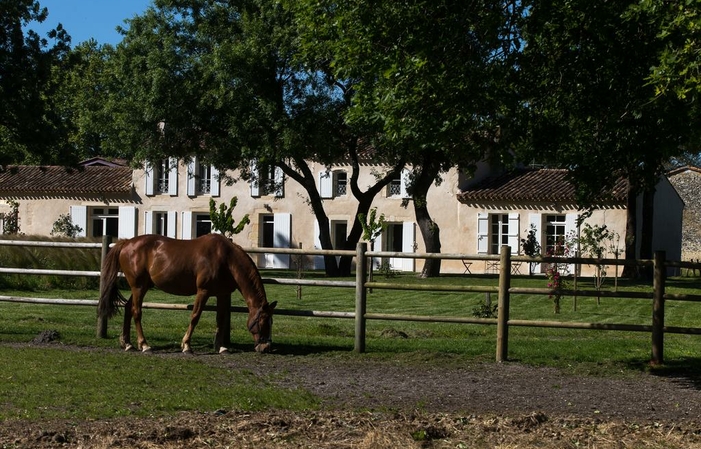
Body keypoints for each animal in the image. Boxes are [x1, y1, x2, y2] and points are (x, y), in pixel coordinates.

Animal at [98, 233, 276, 352]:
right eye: (262, 321)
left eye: (271, 322)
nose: (265, 347)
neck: (226, 259)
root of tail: (127, 243)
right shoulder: (203, 291)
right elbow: (195, 316)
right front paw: (186, 345)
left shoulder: (222, 294)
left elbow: (221, 319)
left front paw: (221, 347)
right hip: (139, 287)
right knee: (136, 311)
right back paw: (144, 345)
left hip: (141, 287)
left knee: (128, 308)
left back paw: (127, 343)